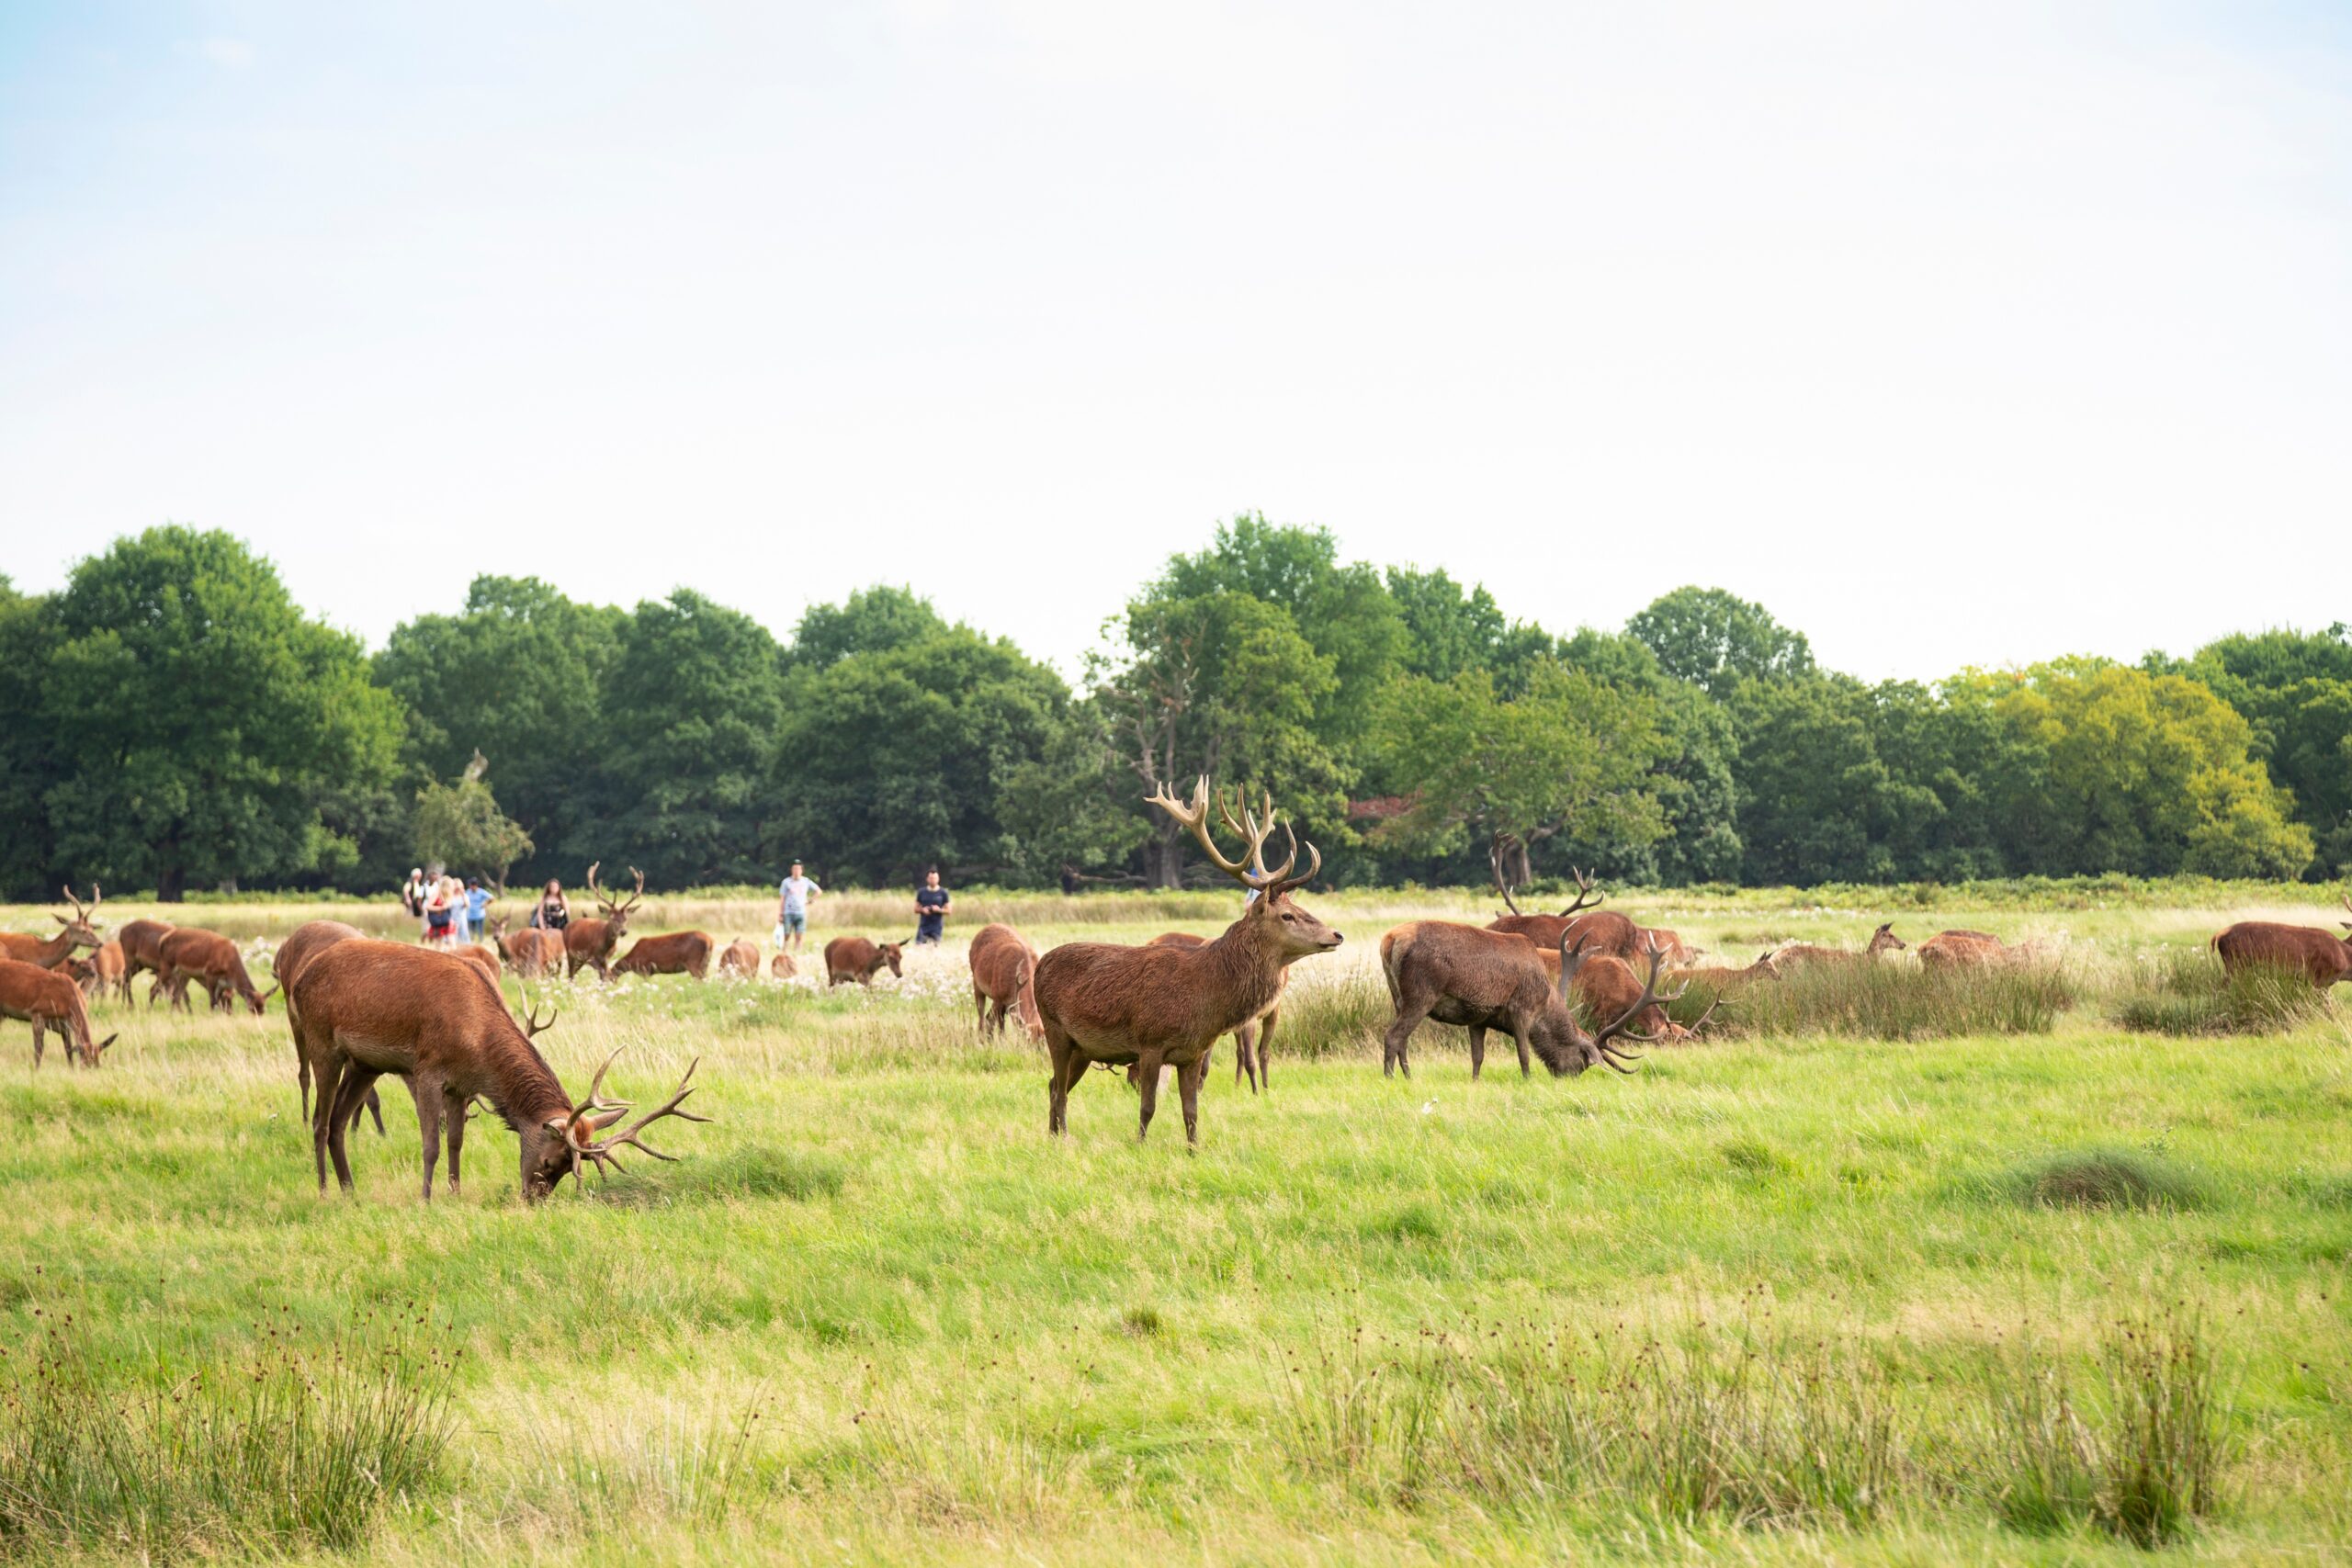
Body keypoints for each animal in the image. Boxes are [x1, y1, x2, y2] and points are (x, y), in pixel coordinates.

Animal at [155, 928, 277, 1014]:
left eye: (263, 1010)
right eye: (252, 1009)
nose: (230, 1013)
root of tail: (162, 939)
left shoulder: (224, 984)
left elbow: (219, 1001)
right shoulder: (209, 974)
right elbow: (213, 1001)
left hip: (183, 973)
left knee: (176, 995)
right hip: (167, 965)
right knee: (155, 988)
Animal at [290, 938, 706, 1202]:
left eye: (567, 1171)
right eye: (550, 1161)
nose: (534, 1200)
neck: (476, 1044)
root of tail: (299, 978)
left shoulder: (459, 1085)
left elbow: (456, 1142)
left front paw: (455, 1193)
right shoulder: (427, 1068)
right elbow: (431, 1144)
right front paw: (425, 1198)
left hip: (365, 1064)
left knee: (339, 1122)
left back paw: (350, 1192)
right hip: (322, 1043)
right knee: (320, 1121)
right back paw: (324, 1191)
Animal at [564, 862, 643, 979]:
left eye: (626, 918)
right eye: (612, 917)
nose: (623, 931)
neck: (605, 949)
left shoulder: (607, 959)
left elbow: (605, 975)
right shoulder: (591, 957)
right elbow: (603, 974)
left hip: (579, 959)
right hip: (570, 952)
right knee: (570, 974)